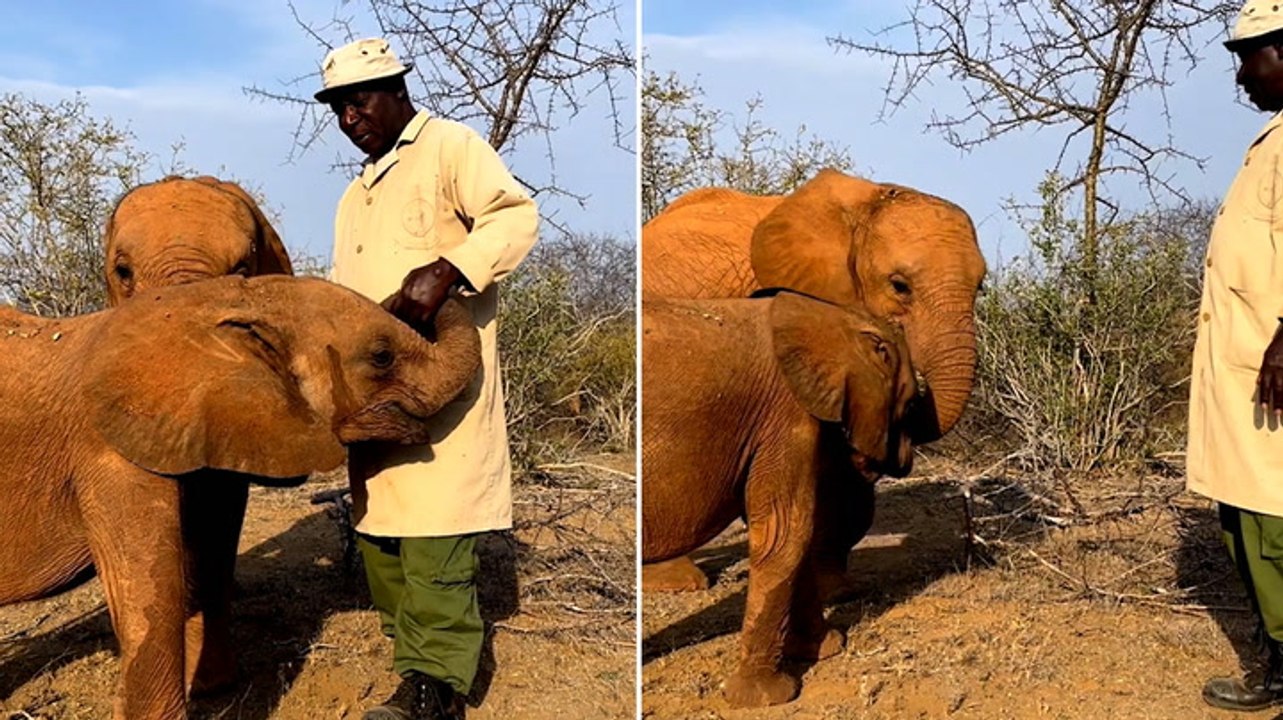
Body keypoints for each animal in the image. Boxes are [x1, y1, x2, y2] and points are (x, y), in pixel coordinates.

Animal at [0, 275, 480, 720]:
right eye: (382, 356)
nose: (418, 289)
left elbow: (204, 551)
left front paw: (212, 689)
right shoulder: (110, 450)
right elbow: (152, 593)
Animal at [641, 291, 917, 707]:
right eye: (913, 400)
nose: (906, 458)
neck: (832, 315)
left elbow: (792, 535)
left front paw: (826, 649)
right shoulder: (786, 414)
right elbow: (786, 533)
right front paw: (765, 698)